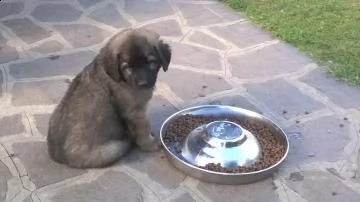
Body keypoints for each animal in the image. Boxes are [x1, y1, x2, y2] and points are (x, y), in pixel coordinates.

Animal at [46, 28, 172, 169]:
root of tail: (60, 159)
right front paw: (149, 143)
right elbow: (143, 127)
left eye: (151, 62)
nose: (143, 84)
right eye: (127, 67)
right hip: (112, 149)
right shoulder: (135, 112)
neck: (118, 76)